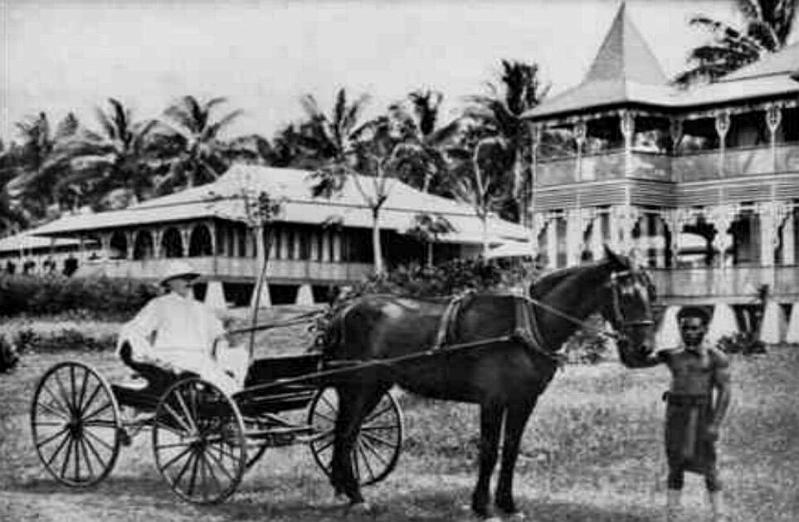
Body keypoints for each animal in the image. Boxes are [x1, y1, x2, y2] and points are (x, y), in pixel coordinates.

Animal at [318, 247, 656, 516]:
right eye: (626, 295)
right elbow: (490, 451)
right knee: (346, 435)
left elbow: (511, 450)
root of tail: (345, 309)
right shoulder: (493, 400)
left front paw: (507, 503)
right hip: (360, 387)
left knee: (345, 434)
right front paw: (482, 505)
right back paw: (356, 497)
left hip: (371, 388)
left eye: (651, 293)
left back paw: (342, 490)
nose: (644, 350)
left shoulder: (524, 400)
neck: (526, 322)